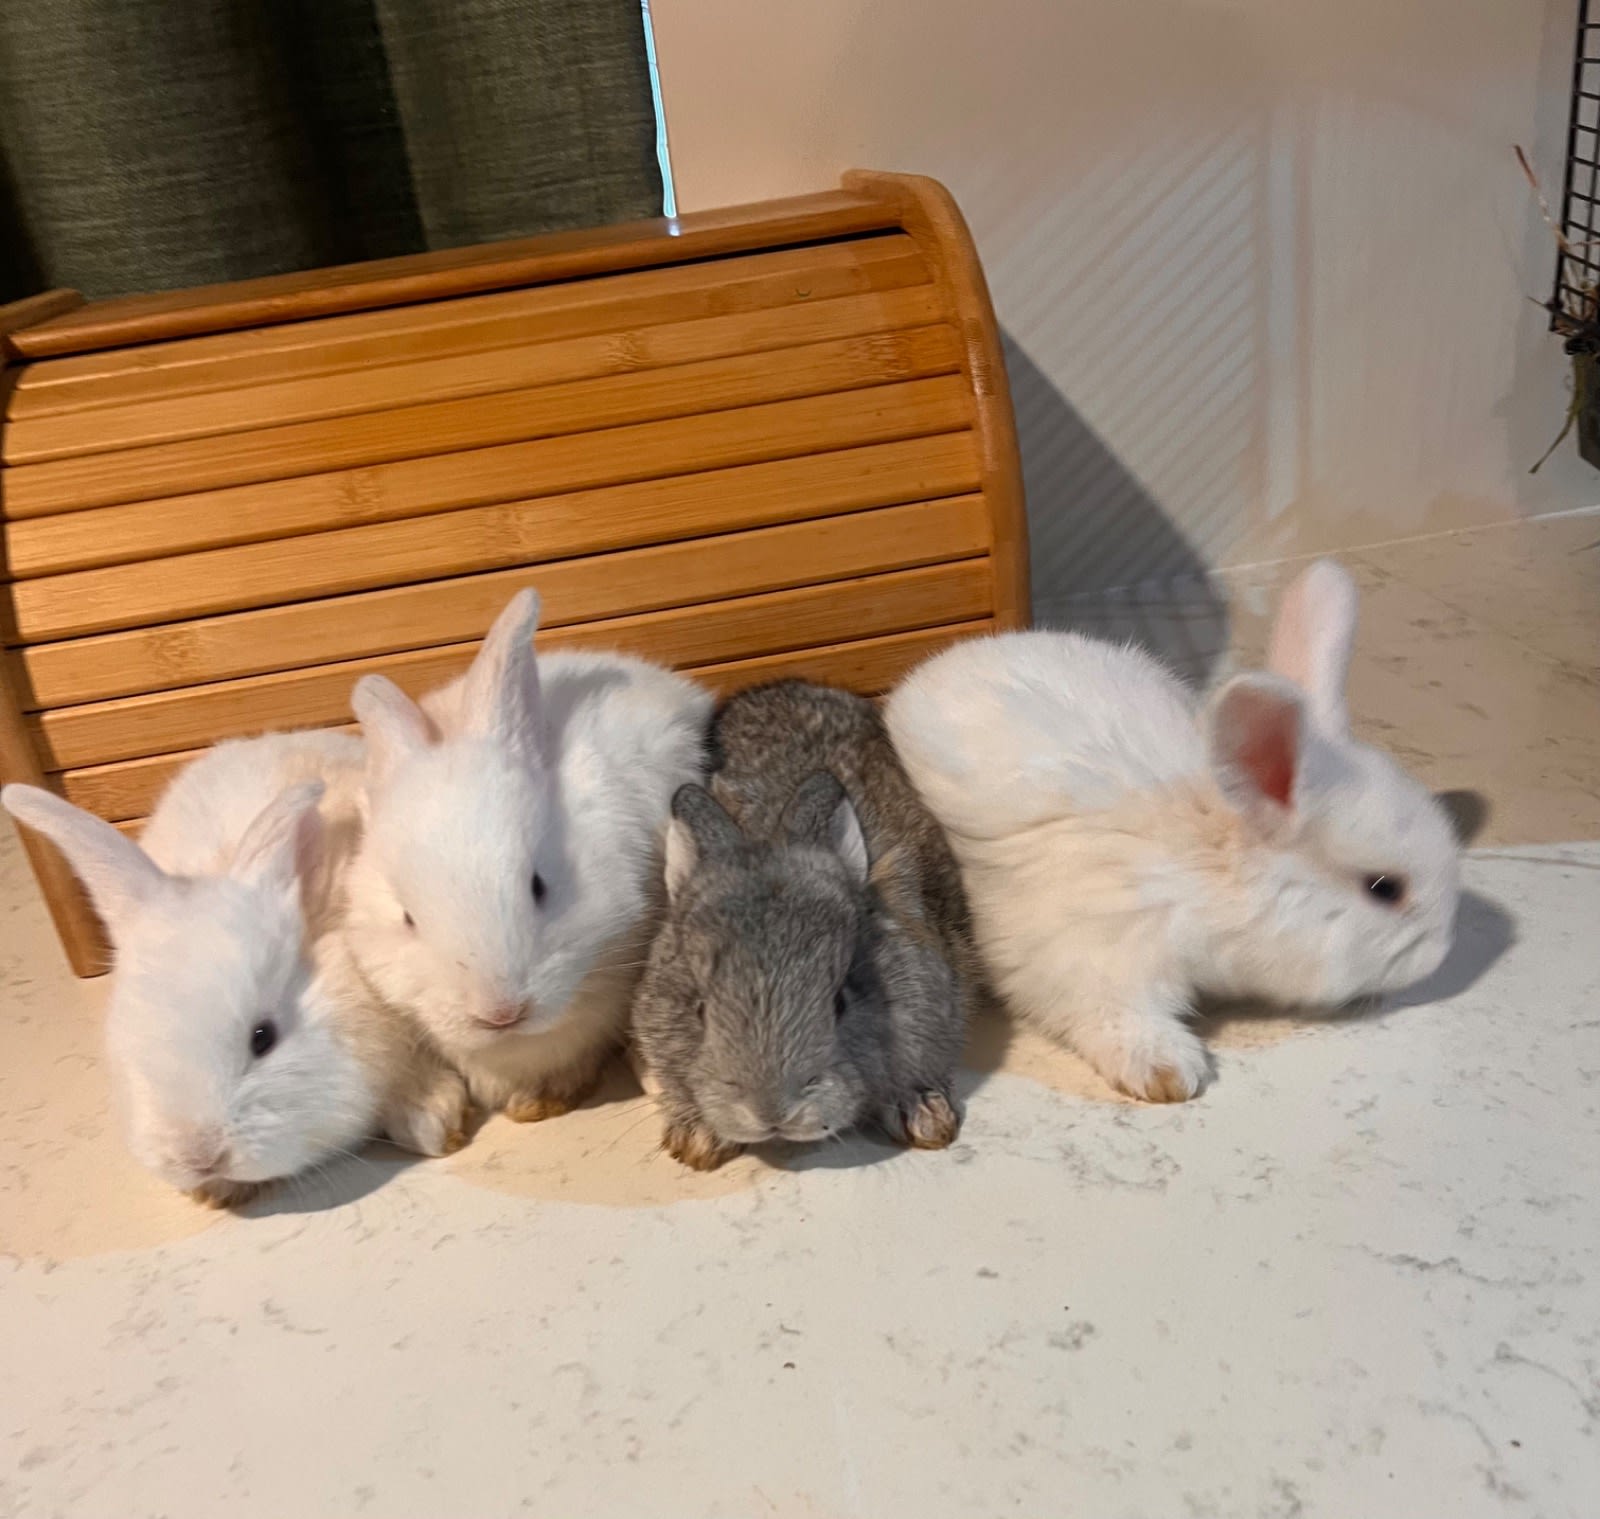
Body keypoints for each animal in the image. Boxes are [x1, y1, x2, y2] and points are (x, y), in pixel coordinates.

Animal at [884, 558, 1462, 1104]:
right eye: (1384, 889)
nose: (1440, 956)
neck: (1207, 859)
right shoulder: (1095, 952)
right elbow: (1112, 1015)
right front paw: (1168, 1071)